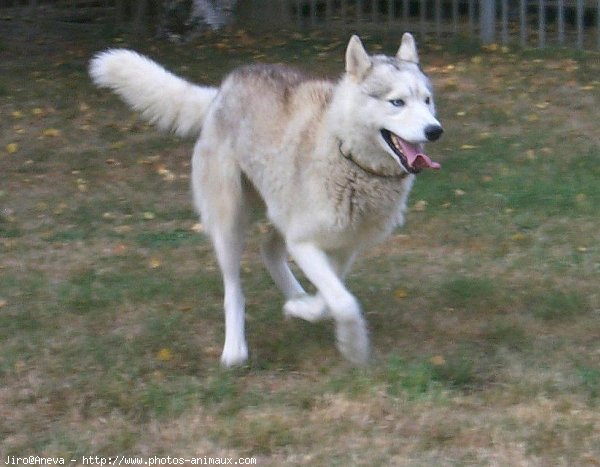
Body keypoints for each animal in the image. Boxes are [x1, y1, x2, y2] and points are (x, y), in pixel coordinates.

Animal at [90, 34, 446, 368]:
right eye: (397, 102)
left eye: (427, 100)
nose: (435, 131)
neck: (347, 153)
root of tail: (222, 90)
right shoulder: (304, 243)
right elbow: (343, 302)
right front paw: (354, 347)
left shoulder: (344, 247)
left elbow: (332, 297)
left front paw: (304, 307)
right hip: (230, 222)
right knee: (234, 290)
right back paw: (235, 350)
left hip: (279, 210)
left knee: (268, 250)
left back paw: (295, 298)